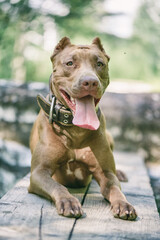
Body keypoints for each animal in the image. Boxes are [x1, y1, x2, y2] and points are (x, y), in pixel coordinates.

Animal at [28, 36, 137, 220]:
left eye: (99, 64)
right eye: (70, 63)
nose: (90, 81)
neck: (75, 129)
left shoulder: (106, 173)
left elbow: (115, 189)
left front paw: (124, 204)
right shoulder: (39, 172)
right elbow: (57, 186)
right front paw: (68, 201)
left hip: (109, 136)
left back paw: (121, 173)